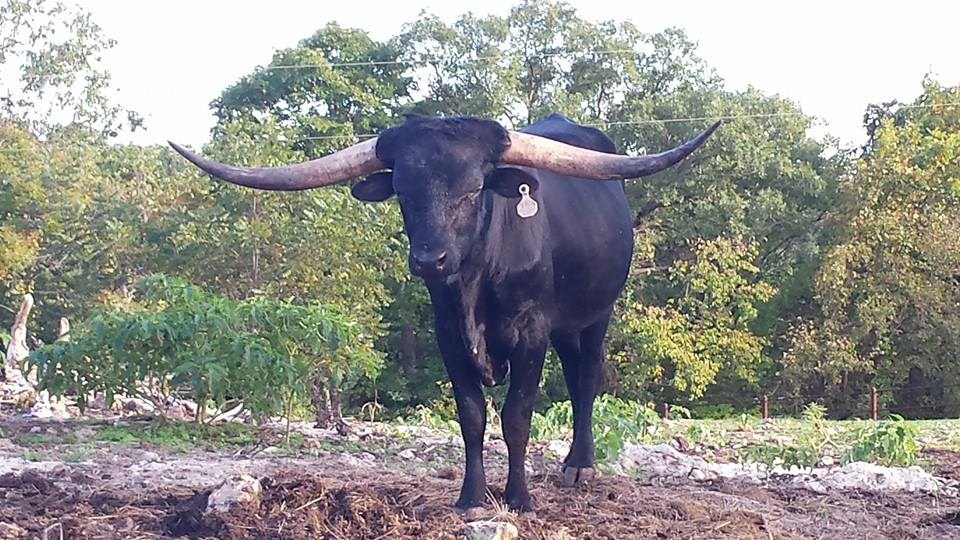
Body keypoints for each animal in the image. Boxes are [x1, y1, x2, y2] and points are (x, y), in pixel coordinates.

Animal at [169, 113, 718, 511]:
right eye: (403, 193)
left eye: (473, 189)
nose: (429, 260)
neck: (475, 283)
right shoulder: (448, 335)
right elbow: (471, 415)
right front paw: (471, 497)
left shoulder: (531, 330)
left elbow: (517, 416)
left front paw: (519, 499)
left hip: (596, 311)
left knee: (585, 376)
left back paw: (579, 465)